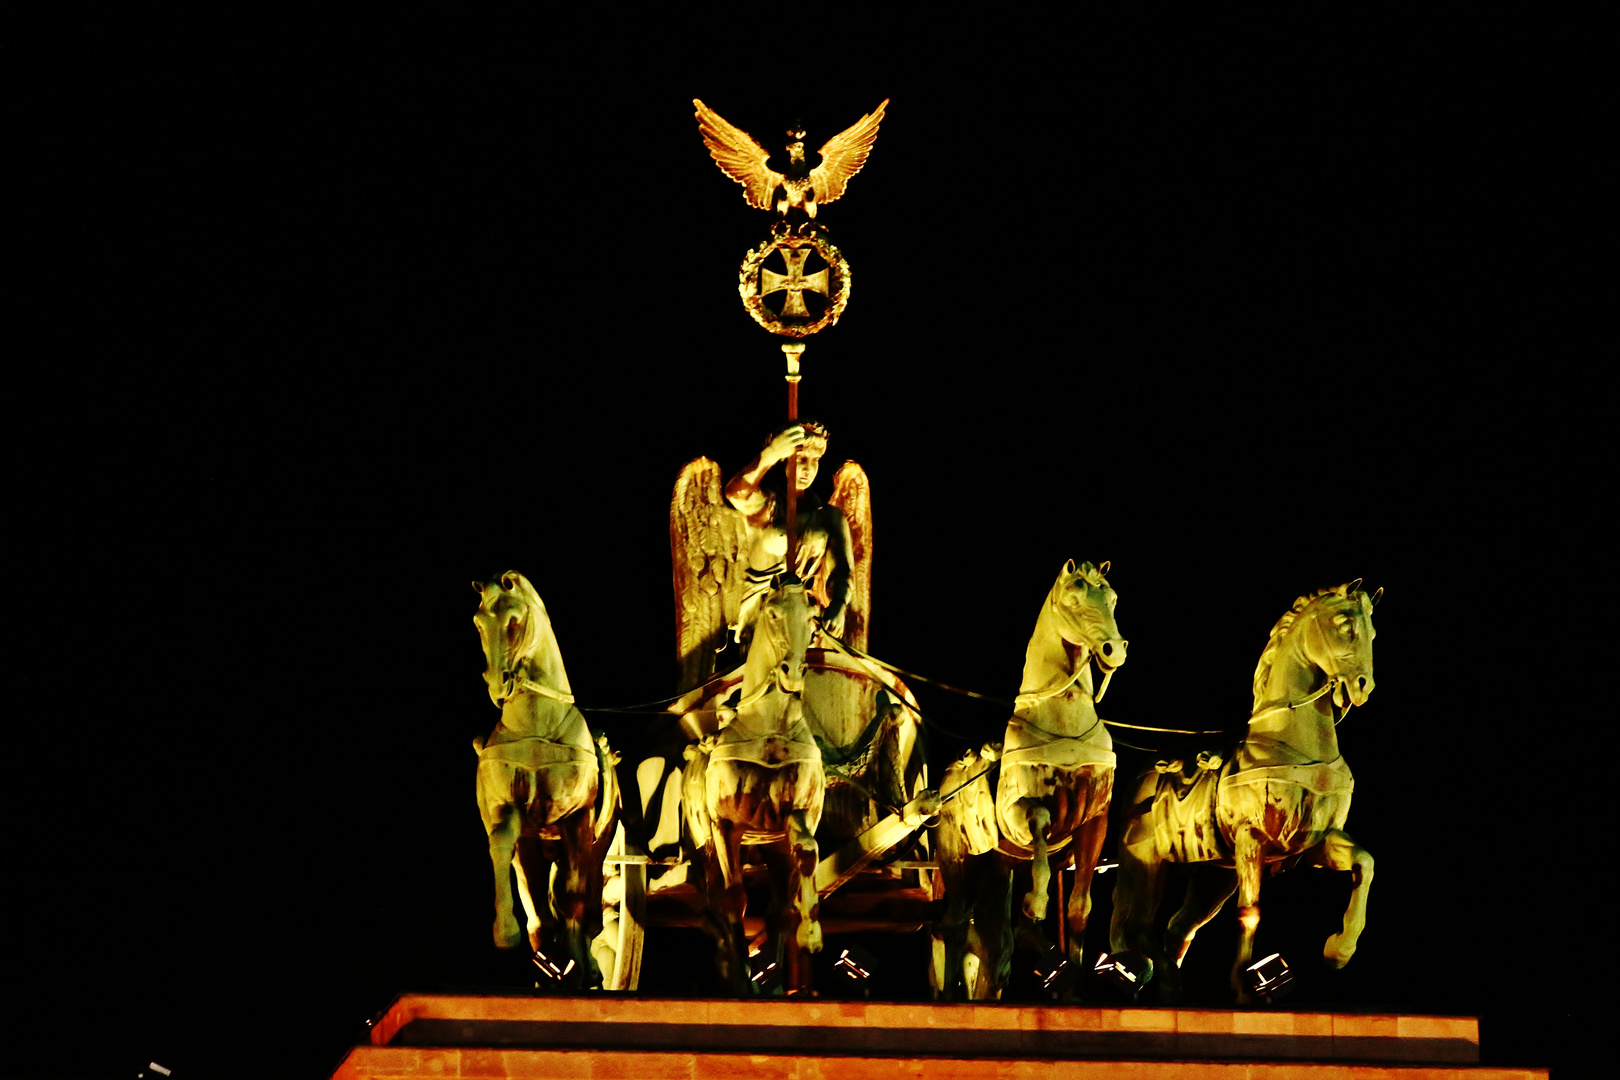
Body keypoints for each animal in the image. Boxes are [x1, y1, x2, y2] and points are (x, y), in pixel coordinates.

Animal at [473, 573, 618, 990]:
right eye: (478, 622)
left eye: (514, 619)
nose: (499, 684)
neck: (537, 725)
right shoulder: (510, 813)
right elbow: (500, 845)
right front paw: (505, 934)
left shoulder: (577, 819)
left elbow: (574, 896)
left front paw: (579, 966)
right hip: (536, 850)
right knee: (540, 911)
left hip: (600, 841)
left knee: (588, 904)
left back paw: (584, 966)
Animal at [680, 579, 822, 990]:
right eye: (773, 613)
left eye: (812, 617)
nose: (792, 672)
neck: (769, 729)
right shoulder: (726, 825)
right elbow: (734, 899)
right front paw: (741, 975)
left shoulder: (798, 815)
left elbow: (806, 858)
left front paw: (810, 933)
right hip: (704, 844)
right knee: (713, 899)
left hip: (771, 849)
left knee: (775, 906)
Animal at [933, 563, 1134, 1003]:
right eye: (1074, 596)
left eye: (1113, 598)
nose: (1114, 649)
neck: (1063, 721)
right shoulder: (1017, 812)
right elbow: (1040, 820)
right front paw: (1037, 900)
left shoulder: (1094, 823)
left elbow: (1079, 907)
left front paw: (1073, 988)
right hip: (959, 862)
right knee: (954, 925)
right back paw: (950, 995)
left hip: (996, 869)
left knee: (994, 946)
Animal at [1108, 579, 1386, 1003]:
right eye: (1344, 625)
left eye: (1372, 633)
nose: (1362, 686)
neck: (1291, 742)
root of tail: (1141, 777)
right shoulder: (1250, 839)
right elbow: (1250, 911)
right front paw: (1243, 986)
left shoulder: (1314, 842)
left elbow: (1365, 864)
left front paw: (1338, 950)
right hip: (1145, 863)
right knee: (1139, 924)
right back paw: (1164, 979)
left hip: (1213, 878)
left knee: (1178, 926)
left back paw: (1171, 988)